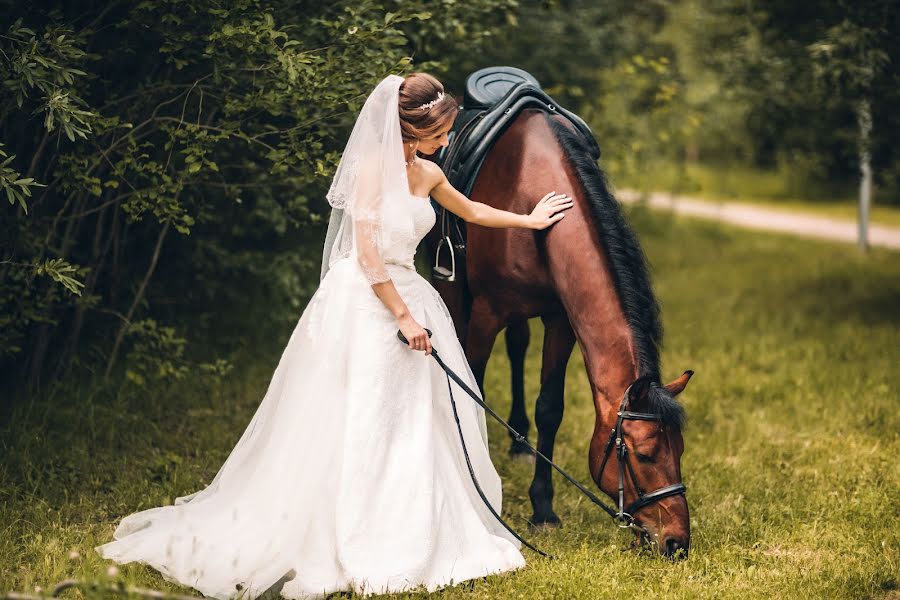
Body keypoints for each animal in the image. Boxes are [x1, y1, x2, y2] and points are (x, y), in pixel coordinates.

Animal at [426, 108, 692, 556]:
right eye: (644, 455)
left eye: (682, 449)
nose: (677, 542)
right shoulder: (486, 314)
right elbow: (473, 388)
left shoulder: (561, 320)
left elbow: (549, 409)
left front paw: (543, 509)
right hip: (451, 287)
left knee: (518, 346)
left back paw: (519, 443)